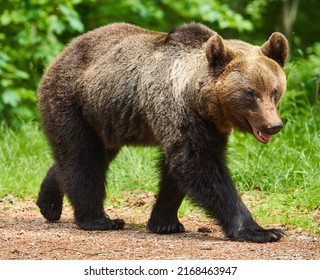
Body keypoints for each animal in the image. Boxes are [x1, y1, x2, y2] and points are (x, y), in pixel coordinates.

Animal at [36, 21, 288, 242]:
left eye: (275, 91)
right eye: (250, 93)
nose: (273, 125)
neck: (202, 103)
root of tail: (61, 54)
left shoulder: (207, 126)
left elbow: (176, 170)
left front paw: (165, 222)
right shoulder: (179, 113)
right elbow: (200, 166)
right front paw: (261, 230)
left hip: (105, 121)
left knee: (85, 157)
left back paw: (48, 203)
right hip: (74, 103)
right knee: (82, 157)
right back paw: (98, 219)